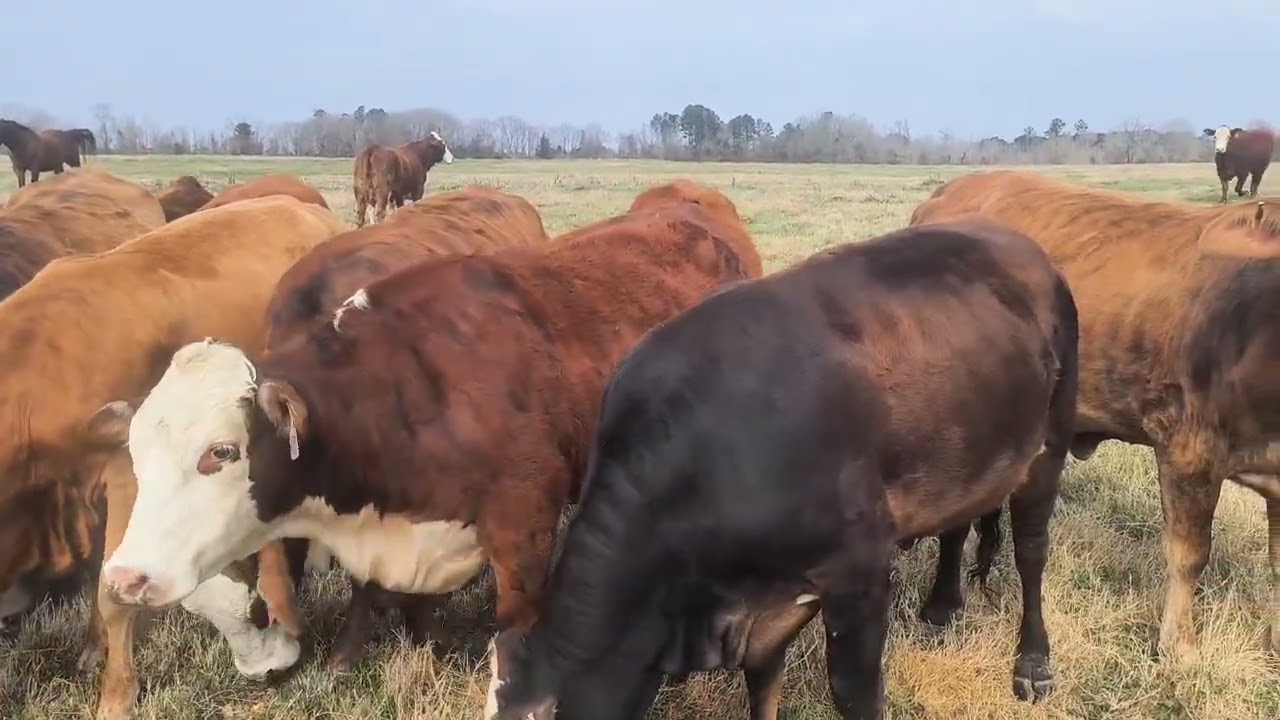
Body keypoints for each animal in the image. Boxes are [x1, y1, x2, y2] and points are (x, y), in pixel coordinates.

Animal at [484, 216, 1079, 720]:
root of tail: (1026, 247)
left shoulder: (859, 571)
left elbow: (854, 693)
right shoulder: (763, 608)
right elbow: (763, 682)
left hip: (1048, 445)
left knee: (1031, 552)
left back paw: (1033, 663)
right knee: (958, 525)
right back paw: (942, 605)